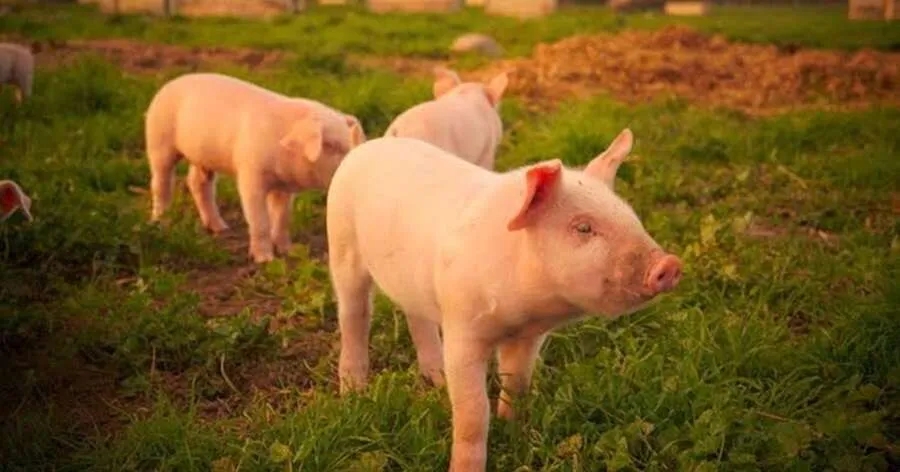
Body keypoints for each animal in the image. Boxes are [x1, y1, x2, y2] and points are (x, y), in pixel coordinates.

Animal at [145, 72, 366, 263]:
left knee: (197, 183)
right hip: (159, 140)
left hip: (202, 157)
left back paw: (221, 229)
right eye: (330, 145)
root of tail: (169, 84)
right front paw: (265, 260)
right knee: (160, 183)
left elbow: (283, 217)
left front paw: (288, 251)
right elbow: (260, 220)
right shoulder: (250, 175)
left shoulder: (283, 188)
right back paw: (160, 223)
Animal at [326, 129, 683, 472]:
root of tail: (365, 145)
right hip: (342, 244)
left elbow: (518, 386)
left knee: (417, 316)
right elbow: (473, 413)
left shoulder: (528, 338)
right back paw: (353, 392)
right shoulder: (462, 330)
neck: (524, 311)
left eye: (632, 216)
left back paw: (436, 379)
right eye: (583, 227)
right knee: (354, 314)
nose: (669, 265)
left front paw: (515, 436)